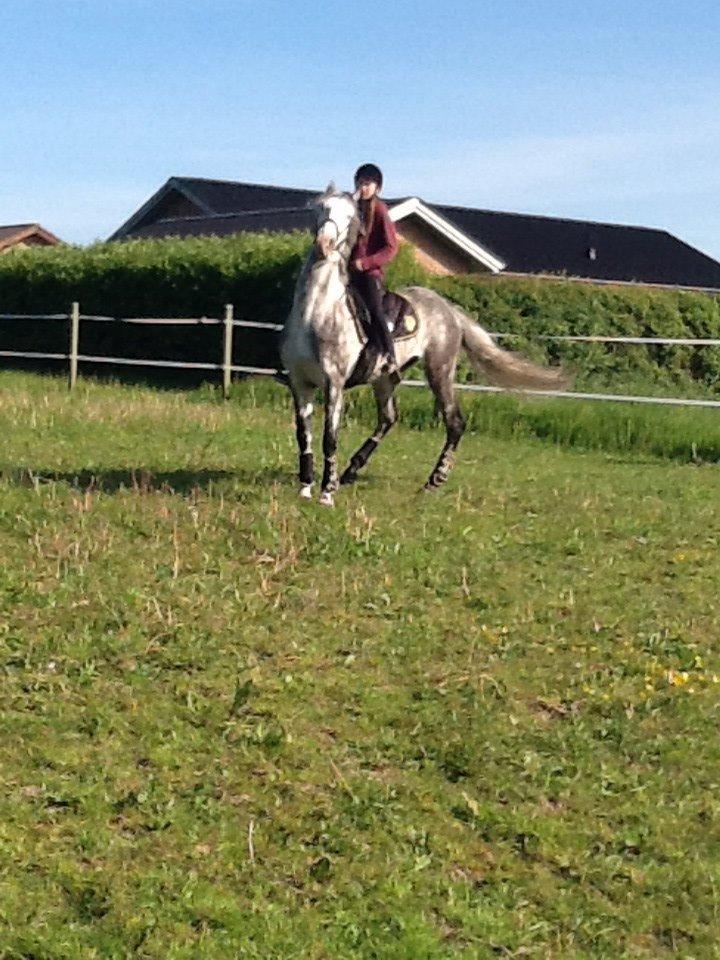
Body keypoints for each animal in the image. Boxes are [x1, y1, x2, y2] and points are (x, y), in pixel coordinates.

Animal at [278, 183, 564, 506]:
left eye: (350, 216)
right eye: (322, 208)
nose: (325, 245)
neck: (317, 313)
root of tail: (449, 309)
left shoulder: (334, 384)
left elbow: (330, 438)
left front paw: (327, 494)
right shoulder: (300, 383)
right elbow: (303, 435)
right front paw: (305, 487)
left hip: (439, 370)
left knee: (454, 422)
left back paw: (434, 481)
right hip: (384, 378)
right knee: (389, 418)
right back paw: (352, 471)